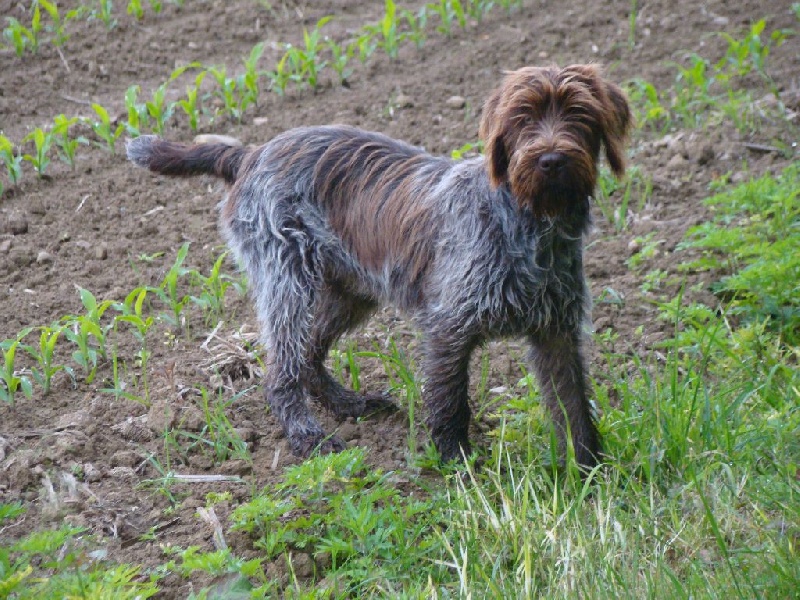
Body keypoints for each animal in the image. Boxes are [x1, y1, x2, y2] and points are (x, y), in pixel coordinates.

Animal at [126, 64, 632, 468]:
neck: (532, 226)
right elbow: (450, 403)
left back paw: (347, 404)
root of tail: (251, 153)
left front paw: (589, 473)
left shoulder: (557, 333)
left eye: (580, 115)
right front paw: (458, 465)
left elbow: (574, 407)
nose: (551, 160)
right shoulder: (449, 326)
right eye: (522, 118)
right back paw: (306, 434)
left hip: (348, 291)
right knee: (282, 371)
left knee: (309, 354)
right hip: (289, 280)